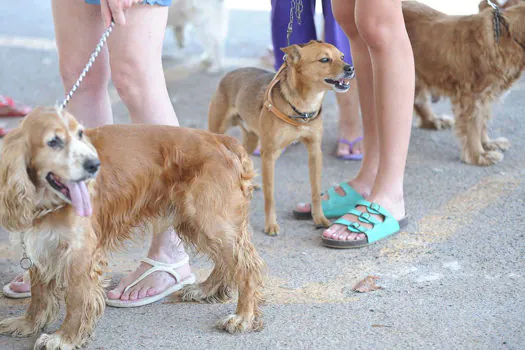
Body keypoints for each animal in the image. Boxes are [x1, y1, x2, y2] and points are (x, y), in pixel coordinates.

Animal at [0, 108, 264, 348]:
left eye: (80, 134)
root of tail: (222, 140)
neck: (47, 200)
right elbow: (39, 293)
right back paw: (205, 290)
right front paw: (27, 323)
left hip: (210, 220)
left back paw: (243, 317)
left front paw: (65, 337)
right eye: (53, 141)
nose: (95, 165)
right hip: (196, 222)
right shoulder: (41, 243)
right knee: (226, 262)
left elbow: (76, 300)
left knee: (247, 267)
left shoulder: (80, 253)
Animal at [207, 40, 354, 235]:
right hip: (218, 131)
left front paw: (319, 218)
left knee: (244, 158)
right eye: (324, 59)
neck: (303, 107)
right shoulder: (269, 156)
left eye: (342, 56)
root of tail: (229, 73)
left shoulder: (315, 152)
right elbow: (270, 196)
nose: (350, 68)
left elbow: (315, 190)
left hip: (252, 139)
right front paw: (270, 225)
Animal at [404, 0, 524, 166]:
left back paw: (434, 120)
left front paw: (487, 144)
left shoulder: (485, 96)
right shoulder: (471, 96)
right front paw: (479, 155)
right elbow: (473, 126)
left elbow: (482, 122)